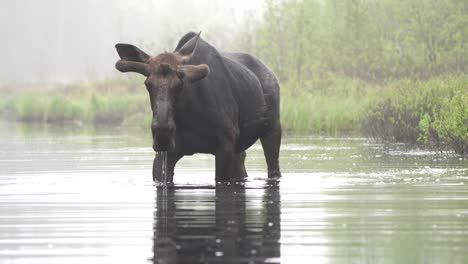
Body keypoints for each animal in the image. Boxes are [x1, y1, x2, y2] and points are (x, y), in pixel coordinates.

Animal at [114, 32, 280, 183]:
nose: (163, 134)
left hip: (272, 129)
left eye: (180, 84)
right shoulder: (166, 153)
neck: (191, 115)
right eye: (148, 84)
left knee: (274, 168)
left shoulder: (225, 144)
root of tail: (271, 73)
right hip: (239, 148)